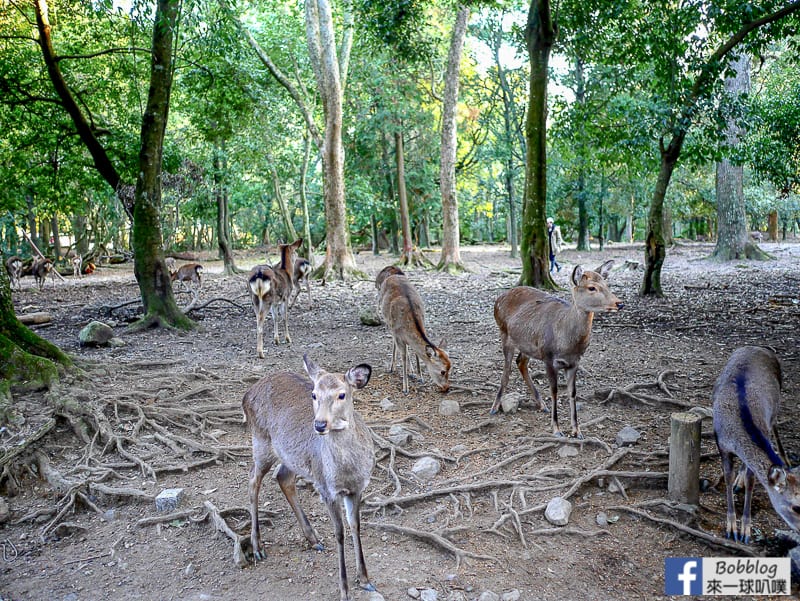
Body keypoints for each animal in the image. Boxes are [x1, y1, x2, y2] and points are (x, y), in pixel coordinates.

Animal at [242, 352, 376, 600]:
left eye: (342, 394)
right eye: (314, 394)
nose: (320, 424)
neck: (346, 471)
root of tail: (247, 394)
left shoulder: (358, 488)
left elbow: (355, 526)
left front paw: (365, 579)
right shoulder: (326, 488)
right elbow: (340, 532)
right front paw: (344, 590)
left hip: (291, 457)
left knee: (282, 477)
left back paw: (313, 539)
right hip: (261, 442)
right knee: (253, 479)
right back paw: (257, 547)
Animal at [490, 260, 620, 438]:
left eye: (607, 284)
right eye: (591, 287)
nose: (619, 302)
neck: (567, 344)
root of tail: (499, 298)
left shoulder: (574, 362)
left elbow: (572, 392)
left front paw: (577, 431)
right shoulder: (548, 357)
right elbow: (554, 391)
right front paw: (557, 430)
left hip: (528, 344)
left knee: (521, 362)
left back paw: (541, 404)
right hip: (504, 333)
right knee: (506, 370)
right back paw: (494, 407)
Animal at [712, 342, 800, 544]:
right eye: (796, 507)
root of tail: (761, 346)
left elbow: (752, 480)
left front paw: (745, 530)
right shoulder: (721, 443)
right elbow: (727, 477)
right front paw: (731, 528)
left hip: (776, 403)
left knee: (775, 425)